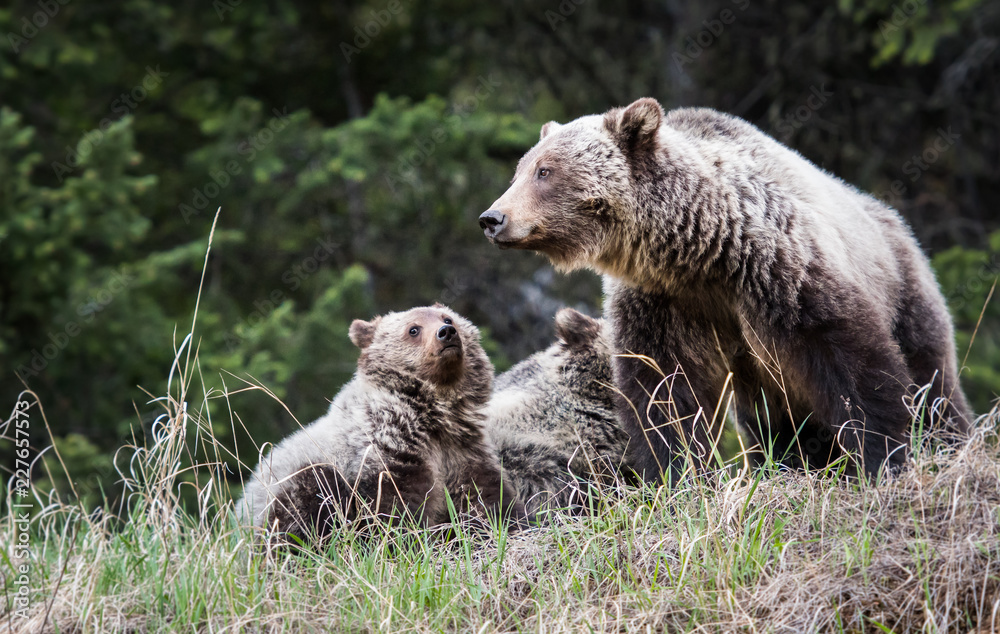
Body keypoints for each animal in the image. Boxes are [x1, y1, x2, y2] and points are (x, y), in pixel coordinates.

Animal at [237, 304, 527, 543]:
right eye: (413, 329)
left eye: (448, 317)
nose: (447, 332)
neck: (430, 417)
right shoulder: (385, 454)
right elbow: (393, 510)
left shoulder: (461, 450)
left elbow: (486, 495)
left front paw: (508, 525)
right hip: (286, 492)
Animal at [479, 98, 973, 482]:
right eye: (520, 170)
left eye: (545, 171)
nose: (492, 218)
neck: (699, 254)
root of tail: (893, 219)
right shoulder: (662, 302)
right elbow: (664, 391)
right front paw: (677, 473)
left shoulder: (779, 272)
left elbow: (849, 358)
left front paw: (881, 455)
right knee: (774, 419)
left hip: (902, 284)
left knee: (931, 374)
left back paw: (947, 438)